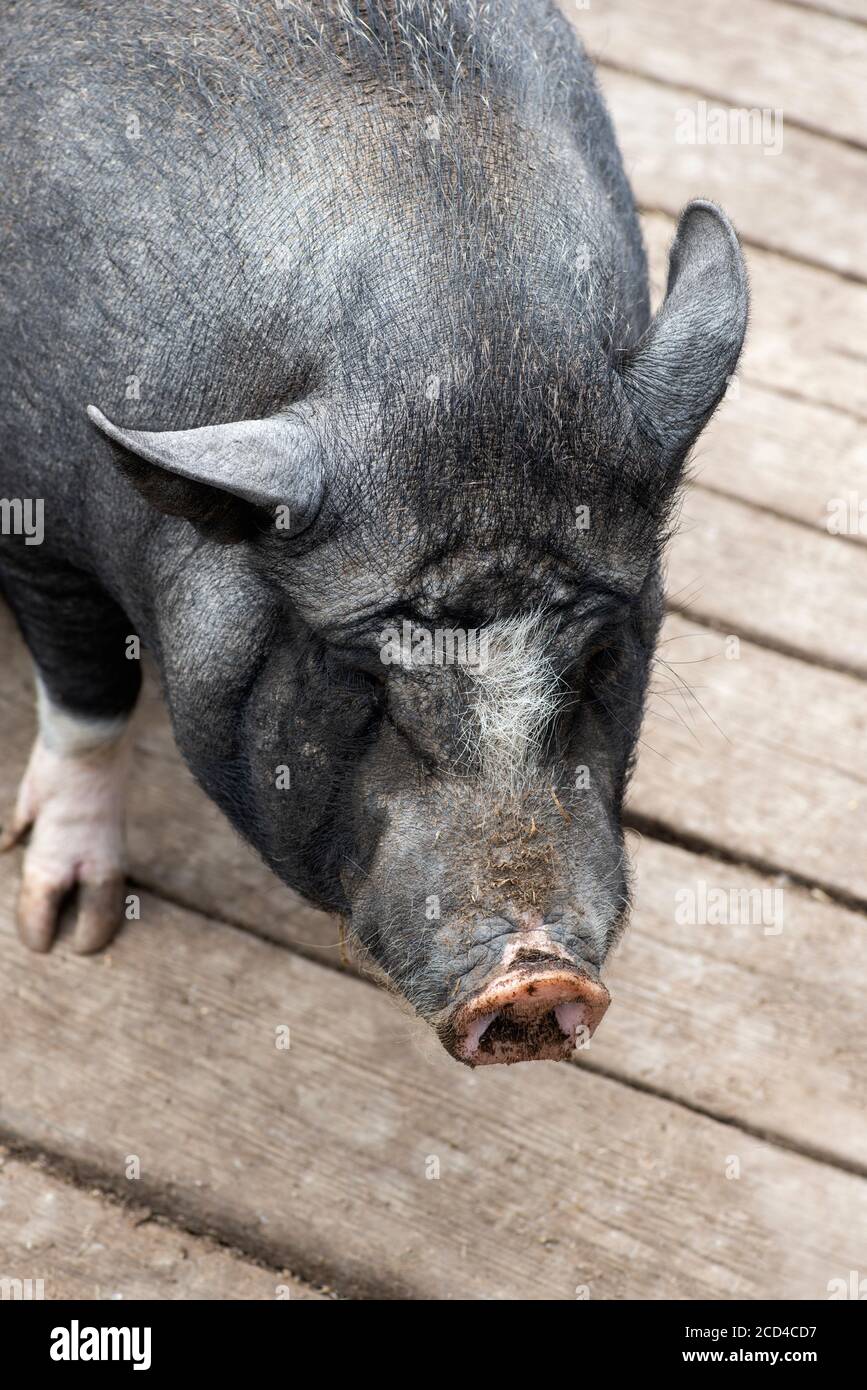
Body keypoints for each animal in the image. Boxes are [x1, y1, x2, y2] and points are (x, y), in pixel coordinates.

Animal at [0, 0, 744, 1061]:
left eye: (600, 658)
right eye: (361, 676)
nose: (534, 975)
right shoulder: (35, 521)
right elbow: (88, 697)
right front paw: (67, 932)